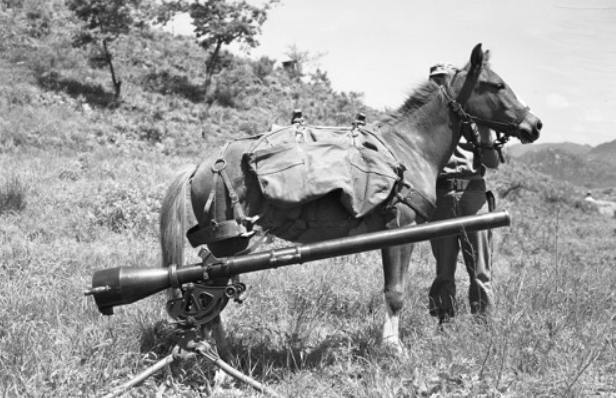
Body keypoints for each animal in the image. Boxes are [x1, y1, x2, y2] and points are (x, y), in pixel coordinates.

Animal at [160, 42, 544, 354]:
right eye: (497, 85)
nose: (535, 125)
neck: (410, 146)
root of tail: (201, 165)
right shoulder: (399, 232)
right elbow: (395, 292)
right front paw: (392, 349)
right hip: (229, 246)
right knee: (210, 295)